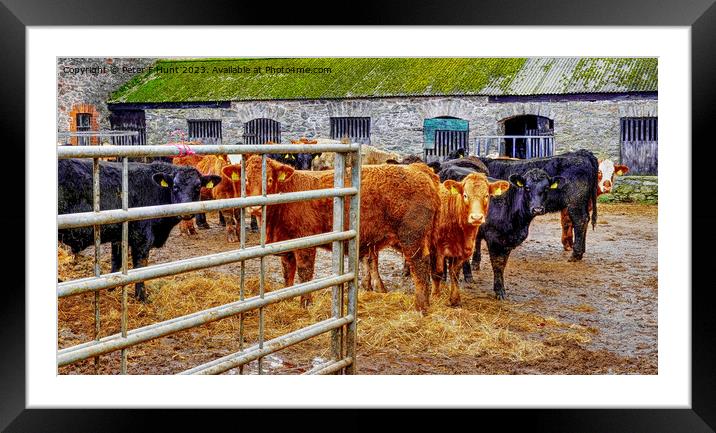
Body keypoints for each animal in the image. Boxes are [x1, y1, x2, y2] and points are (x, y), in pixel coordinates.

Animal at [57, 159, 220, 300]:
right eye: (175, 186)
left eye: (197, 187)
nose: (186, 212)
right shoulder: (142, 238)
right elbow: (140, 266)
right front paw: (142, 297)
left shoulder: (118, 237)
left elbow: (116, 262)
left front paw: (111, 288)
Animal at [243, 157, 440, 312]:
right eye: (246, 180)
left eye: (269, 180)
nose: (254, 207)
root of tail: (417, 168)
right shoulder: (287, 246)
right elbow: (287, 274)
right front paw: (288, 299)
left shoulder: (306, 244)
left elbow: (305, 273)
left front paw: (306, 304)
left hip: (412, 238)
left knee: (420, 268)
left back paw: (420, 307)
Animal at [476, 169, 564, 300]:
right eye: (527, 187)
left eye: (546, 188)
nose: (537, 209)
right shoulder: (492, 238)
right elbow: (497, 264)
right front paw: (499, 291)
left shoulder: (508, 242)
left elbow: (502, 265)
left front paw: (501, 289)